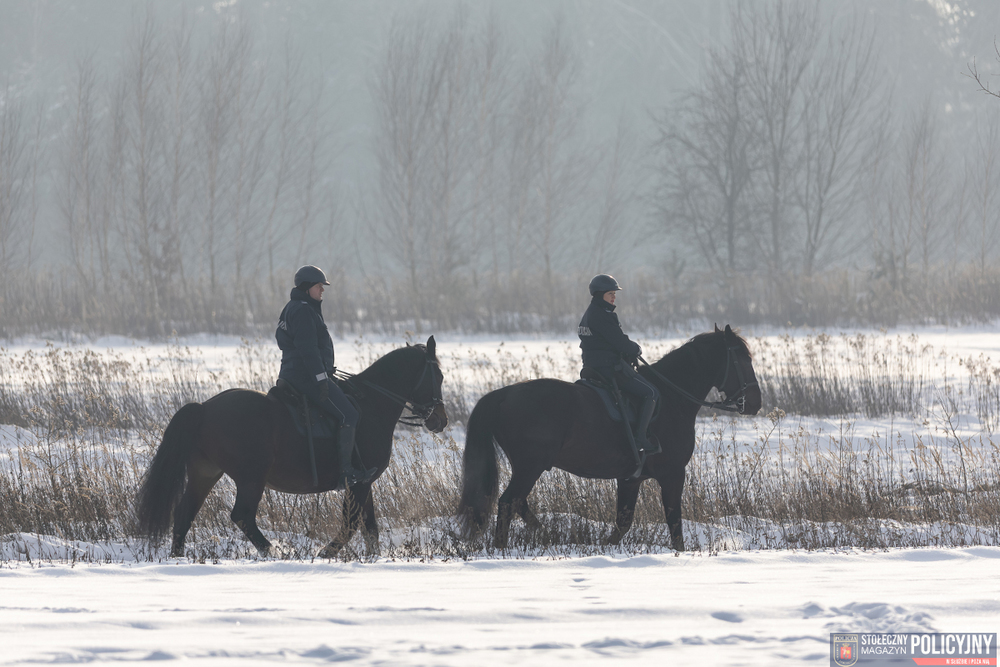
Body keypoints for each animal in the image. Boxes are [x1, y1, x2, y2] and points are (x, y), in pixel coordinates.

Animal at [136, 336, 448, 558]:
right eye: (440, 377)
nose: (440, 421)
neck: (372, 404)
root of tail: (203, 408)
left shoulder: (363, 482)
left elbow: (370, 528)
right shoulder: (359, 482)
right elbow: (351, 525)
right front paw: (325, 553)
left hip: (206, 472)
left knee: (184, 514)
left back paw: (179, 557)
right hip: (251, 477)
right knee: (242, 516)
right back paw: (274, 552)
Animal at [457, 325, 761, 551]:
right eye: (743, 359)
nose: (755, 402)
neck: (672, 397)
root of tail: (503, 394)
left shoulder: (630, 479)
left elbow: (622, 523)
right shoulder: (673, 474)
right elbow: (674, 525)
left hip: (528, 467)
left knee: (518, 503)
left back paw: (546, 535)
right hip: (529, 466)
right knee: (508, 502)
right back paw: (505, 546)